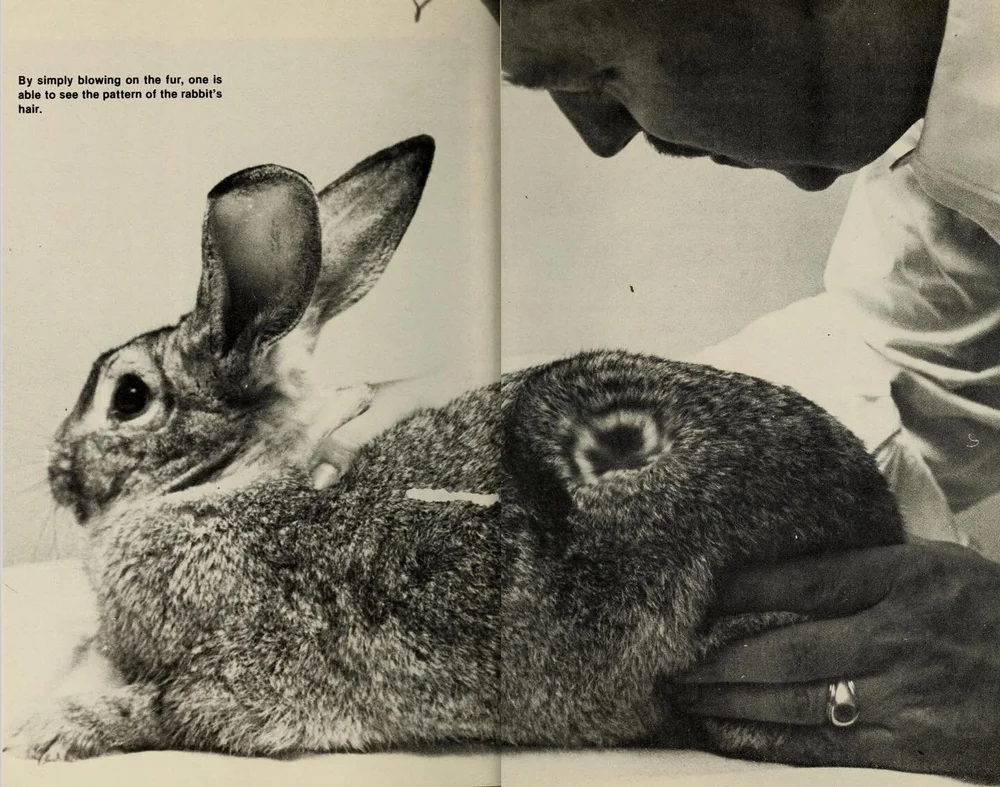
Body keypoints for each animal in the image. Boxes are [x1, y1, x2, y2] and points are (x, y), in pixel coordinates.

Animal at [7, 134, 905, 764]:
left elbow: (152, 709)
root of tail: (881, 519)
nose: (56, 471)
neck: (228, 479)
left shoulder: (233, 679)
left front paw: (44, 733)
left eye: (128, 396)